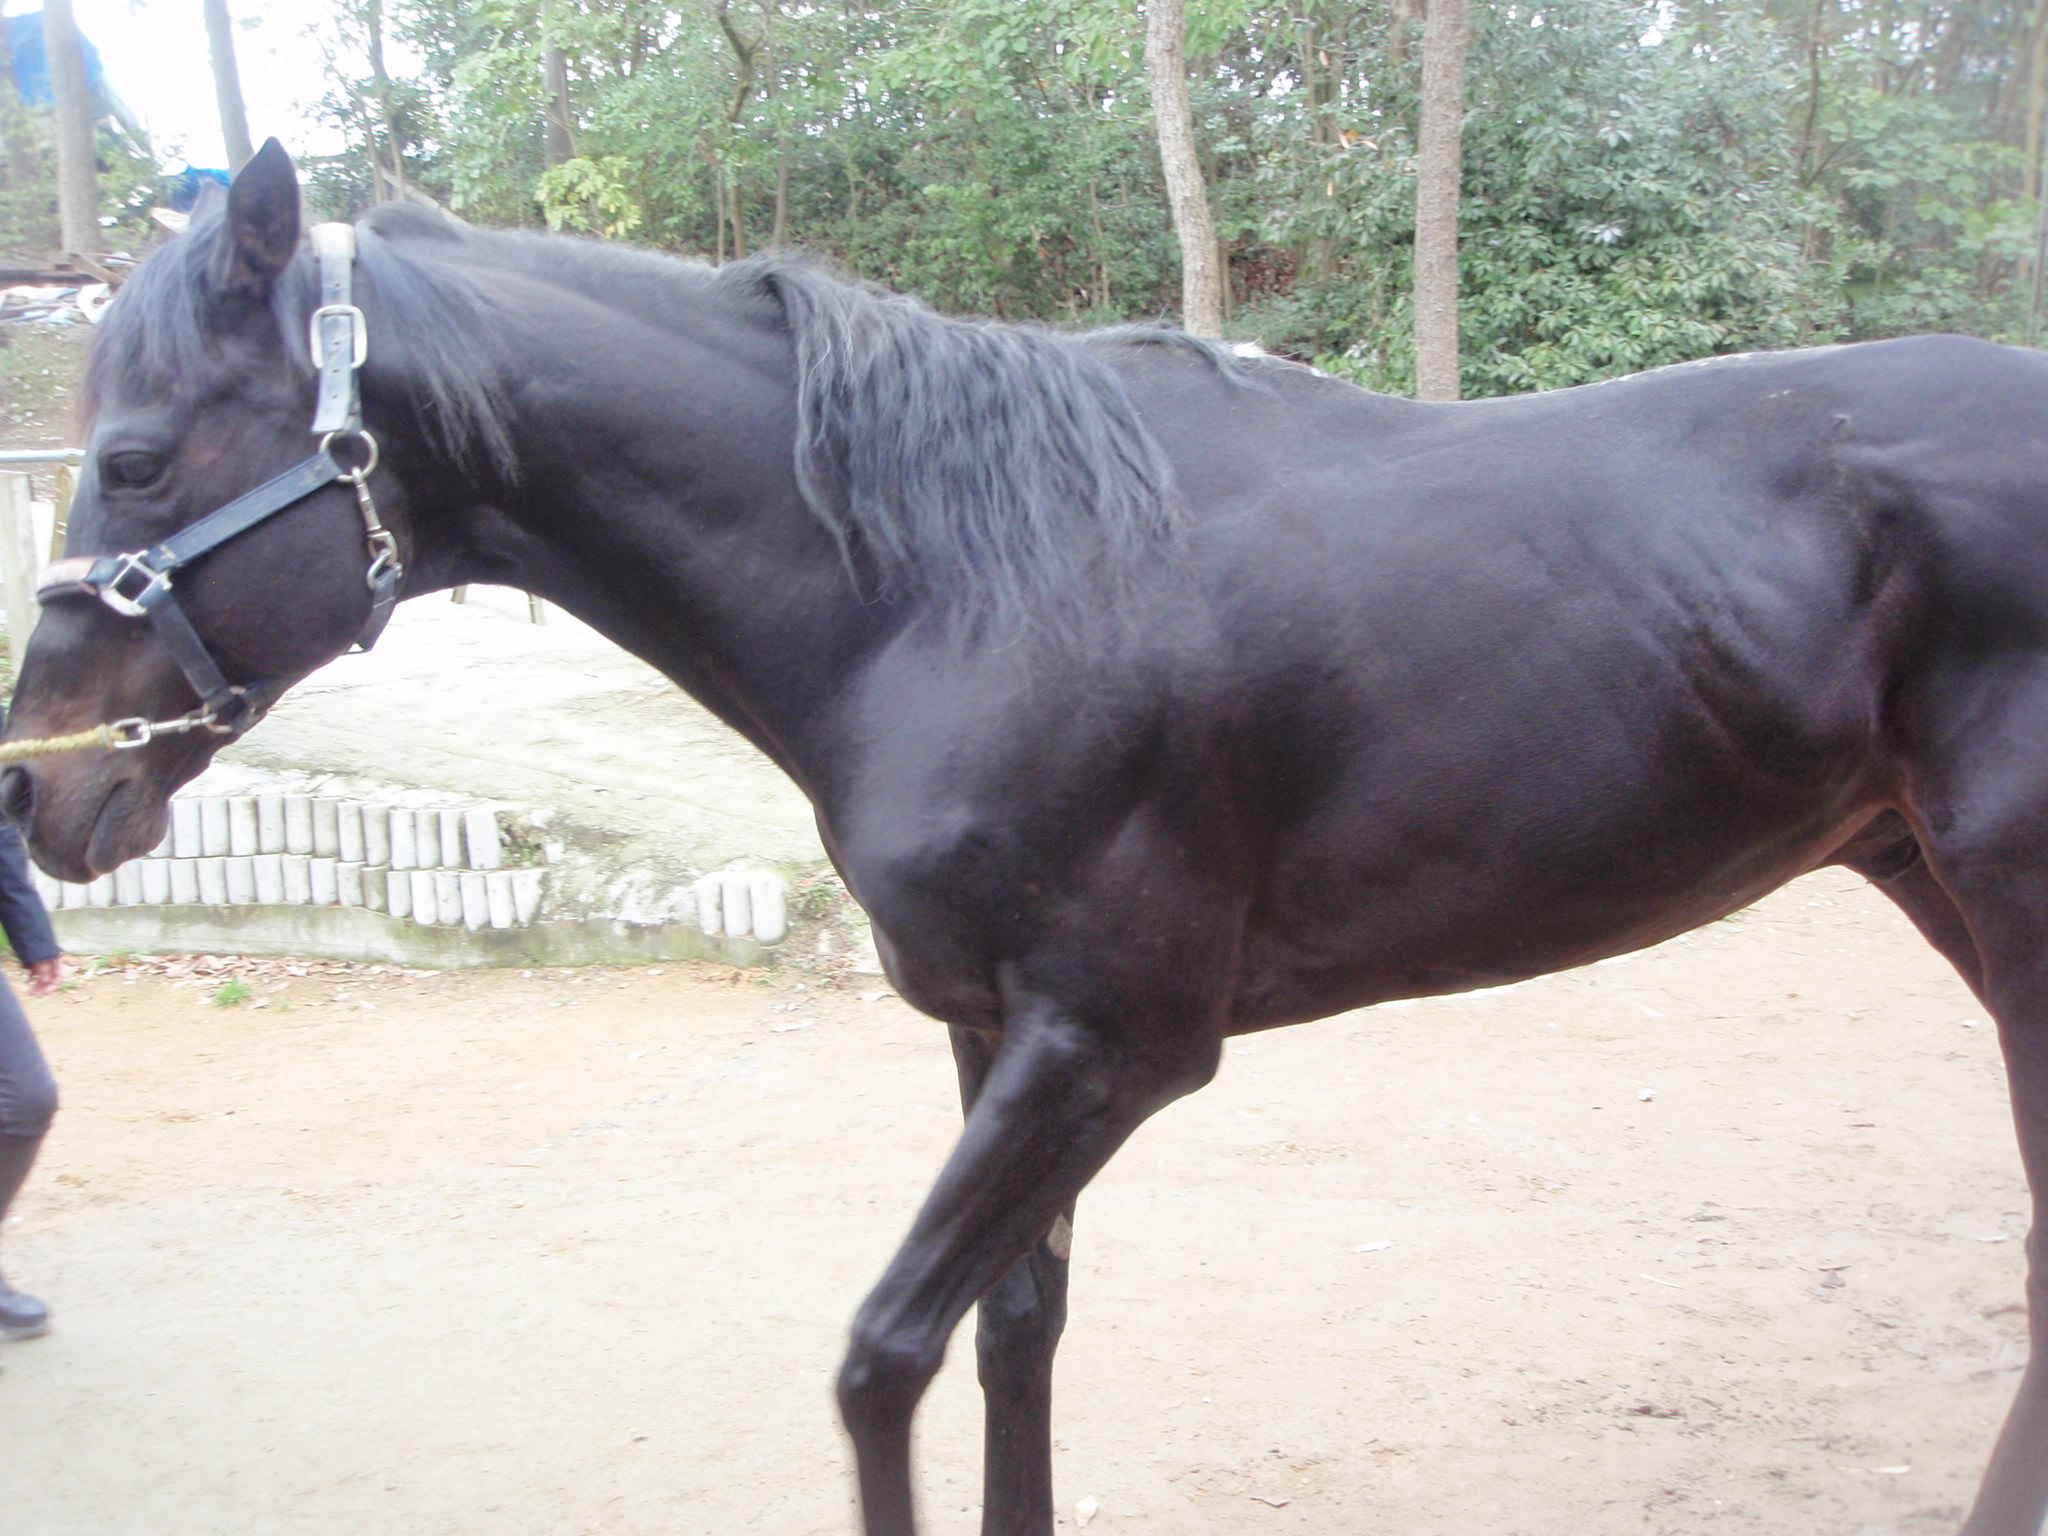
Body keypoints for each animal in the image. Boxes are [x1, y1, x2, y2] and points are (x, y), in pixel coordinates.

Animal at [8, 138, 2048, 1536]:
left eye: (133, 460)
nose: (34, 785)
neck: (960, 587)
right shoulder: (997, 1034)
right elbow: (1011, 1340)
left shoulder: (1108, 1047)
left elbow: (883, 1354)